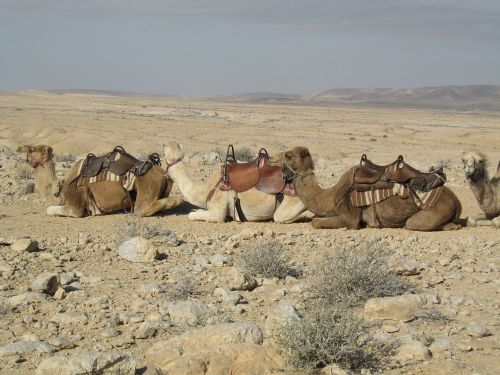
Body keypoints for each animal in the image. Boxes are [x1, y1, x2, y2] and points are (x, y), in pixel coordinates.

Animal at [20, 145, 184, 219]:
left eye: (32, 150)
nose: (20, 148)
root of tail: (162, 173)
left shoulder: (75, 208)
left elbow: (50, 210)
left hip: (146, 188)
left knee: (142, 209)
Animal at [270, 148, 460, 232]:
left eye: (288, 155)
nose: (270, 158)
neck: (329, 195)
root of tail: (457, 201)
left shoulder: (350, 217)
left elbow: (315, 222)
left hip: (432, 212)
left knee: (414, 223)